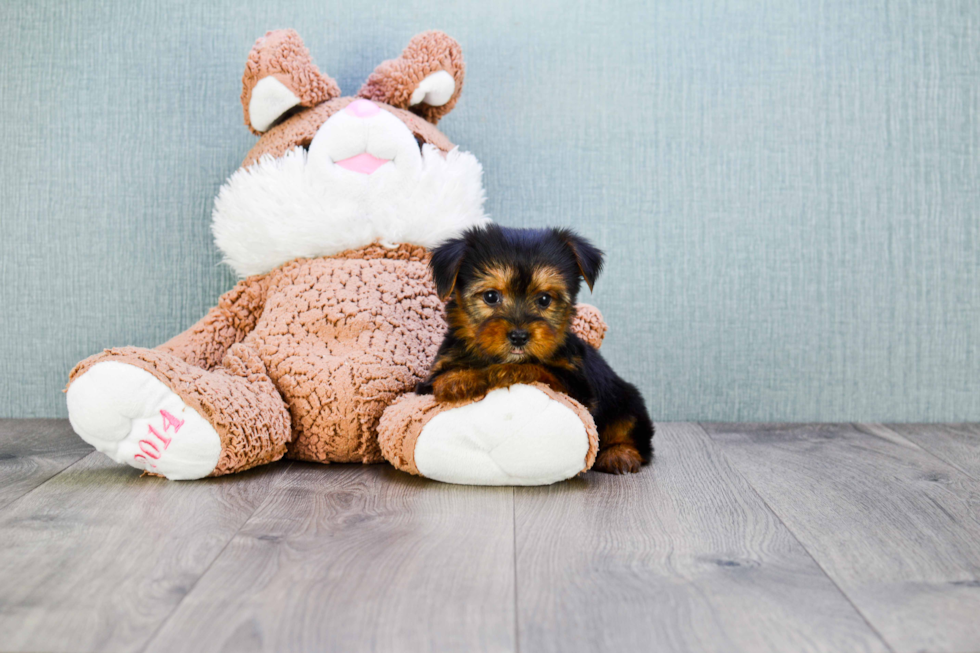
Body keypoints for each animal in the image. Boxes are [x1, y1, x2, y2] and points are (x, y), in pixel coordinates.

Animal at [418, 224, 656, 474]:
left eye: (544, 299)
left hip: (626, 402)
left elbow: (540, 369)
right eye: (491, 296)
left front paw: (502, 372)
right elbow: (439, 377)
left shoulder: (578, 387)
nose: (519, 336)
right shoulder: (435, 370)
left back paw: (620, 454)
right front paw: (458, 379)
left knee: (633, 434)